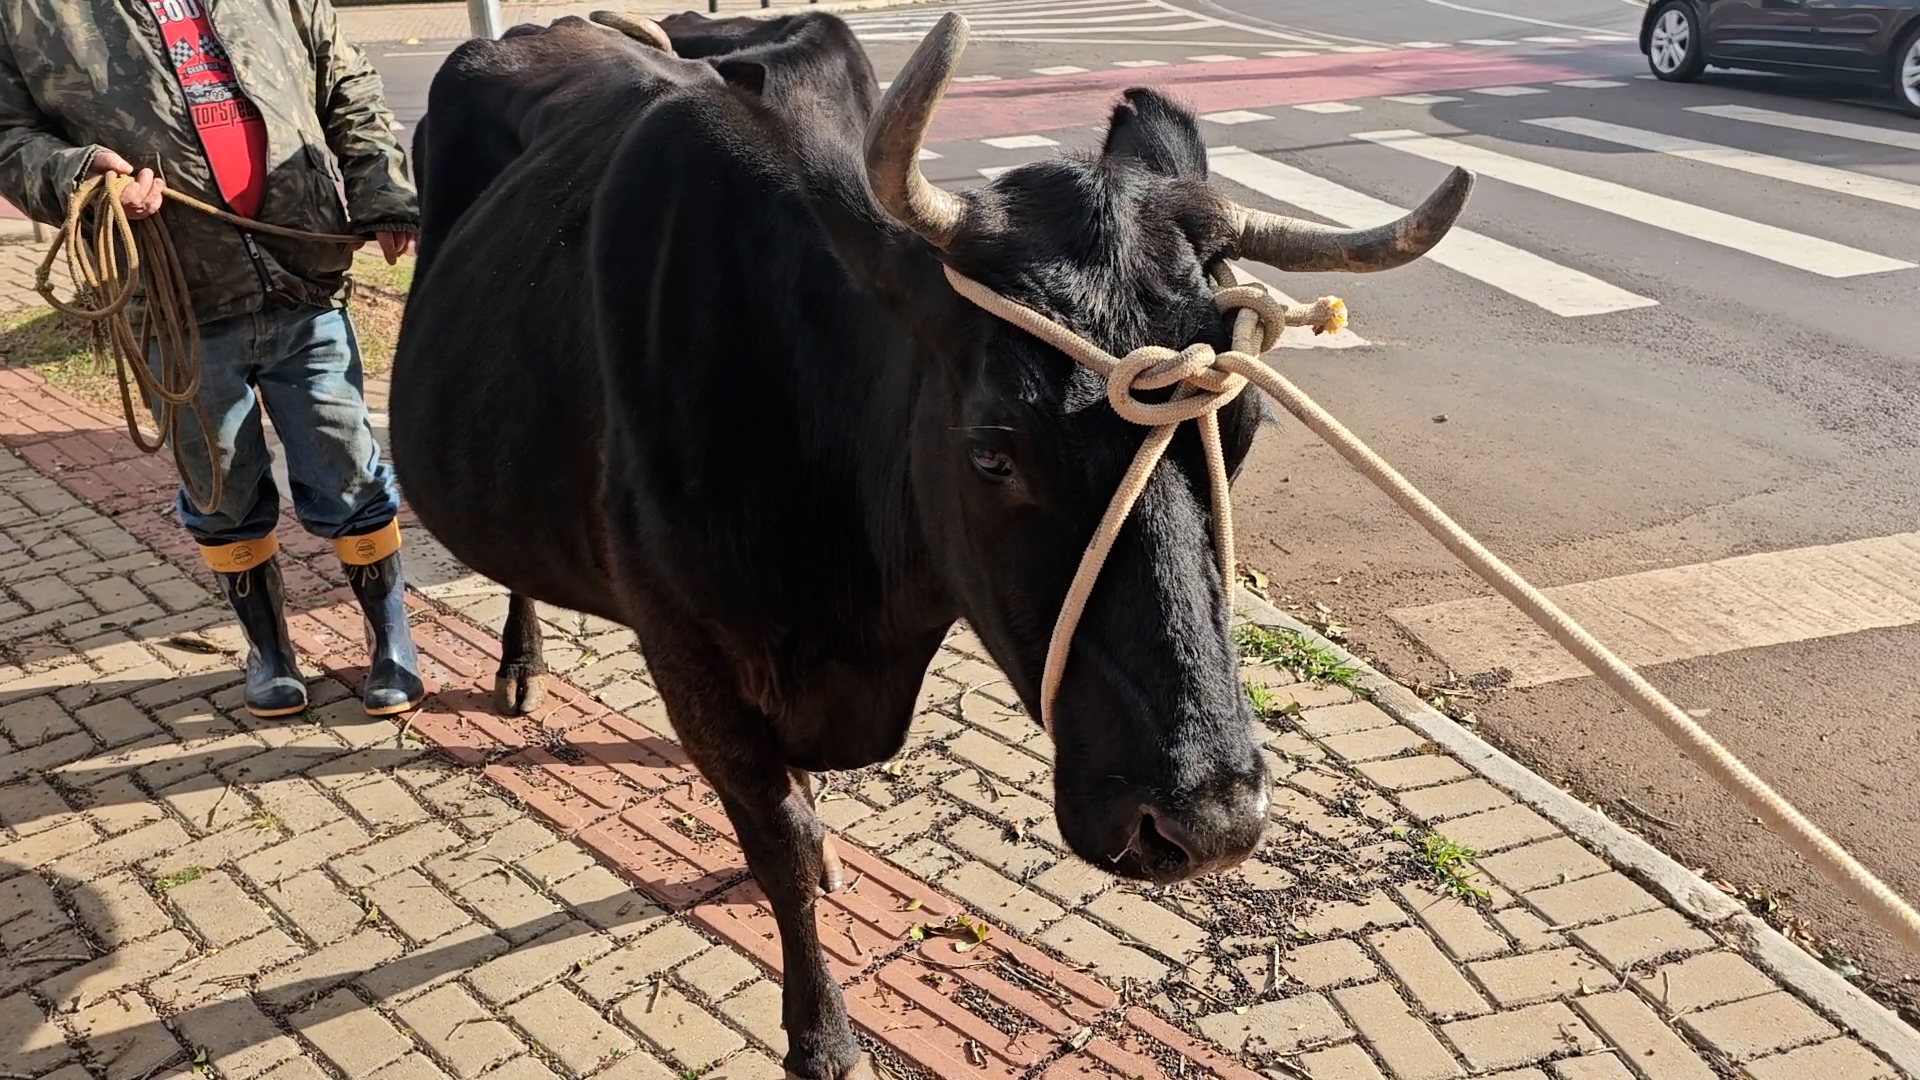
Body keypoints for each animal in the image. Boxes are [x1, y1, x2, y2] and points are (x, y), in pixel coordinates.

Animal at [390, 11, 1468, 1078]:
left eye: (1239, 433)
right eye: (994, 452)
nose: (1208, 822)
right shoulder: (686, 649)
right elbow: (778, 842)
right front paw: (820, 1037)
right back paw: (519, 663)